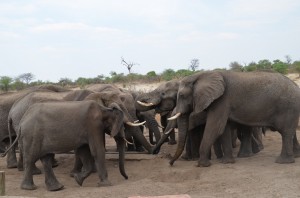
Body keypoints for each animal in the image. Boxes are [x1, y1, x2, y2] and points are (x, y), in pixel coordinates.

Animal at [169, 70, 300, 166]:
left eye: (182, 95)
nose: (171, 163)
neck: (201, 75)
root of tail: (296, 86)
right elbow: (224, 129)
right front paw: (226, 162)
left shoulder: (221, 101)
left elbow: (215, 128)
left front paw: (202, 165)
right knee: (290, 132)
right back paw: (295, 156)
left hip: (287, 107)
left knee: (286, 132)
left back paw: (283, 162)